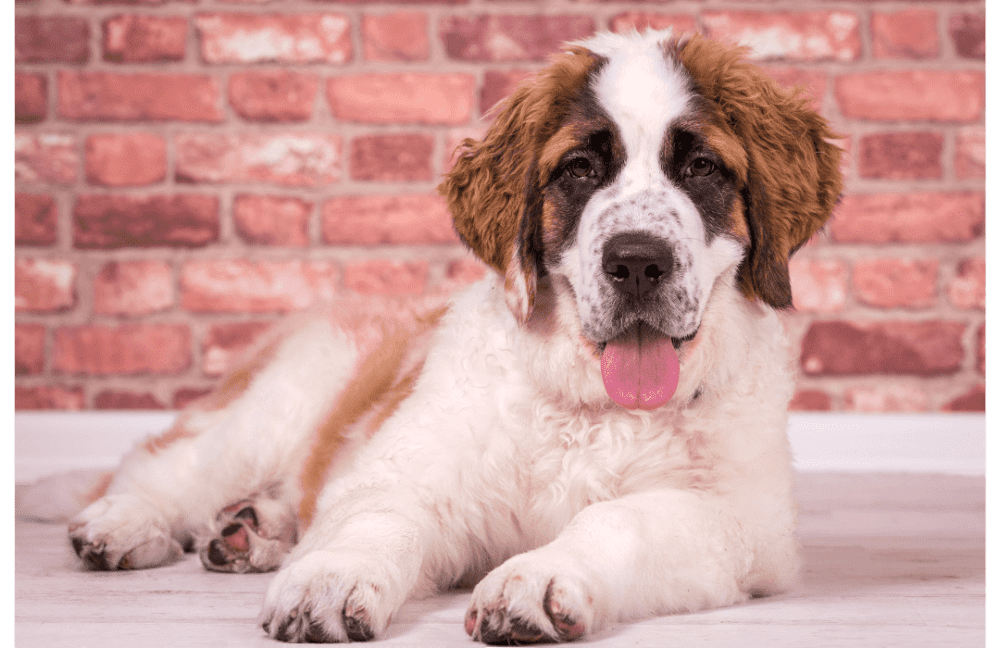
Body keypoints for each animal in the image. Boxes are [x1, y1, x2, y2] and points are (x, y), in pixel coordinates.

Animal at [29, 30, 844, 644]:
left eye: (700, 166)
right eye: (580, 170)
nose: (638, 261)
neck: (591, 411)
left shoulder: (744, 524)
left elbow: (621, 519)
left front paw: (538, 578)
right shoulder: (405, 470)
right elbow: (380, 515)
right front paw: (330, 577)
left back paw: (249, 532)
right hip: (282, 400)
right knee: (174, 465)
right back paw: (126, 523)